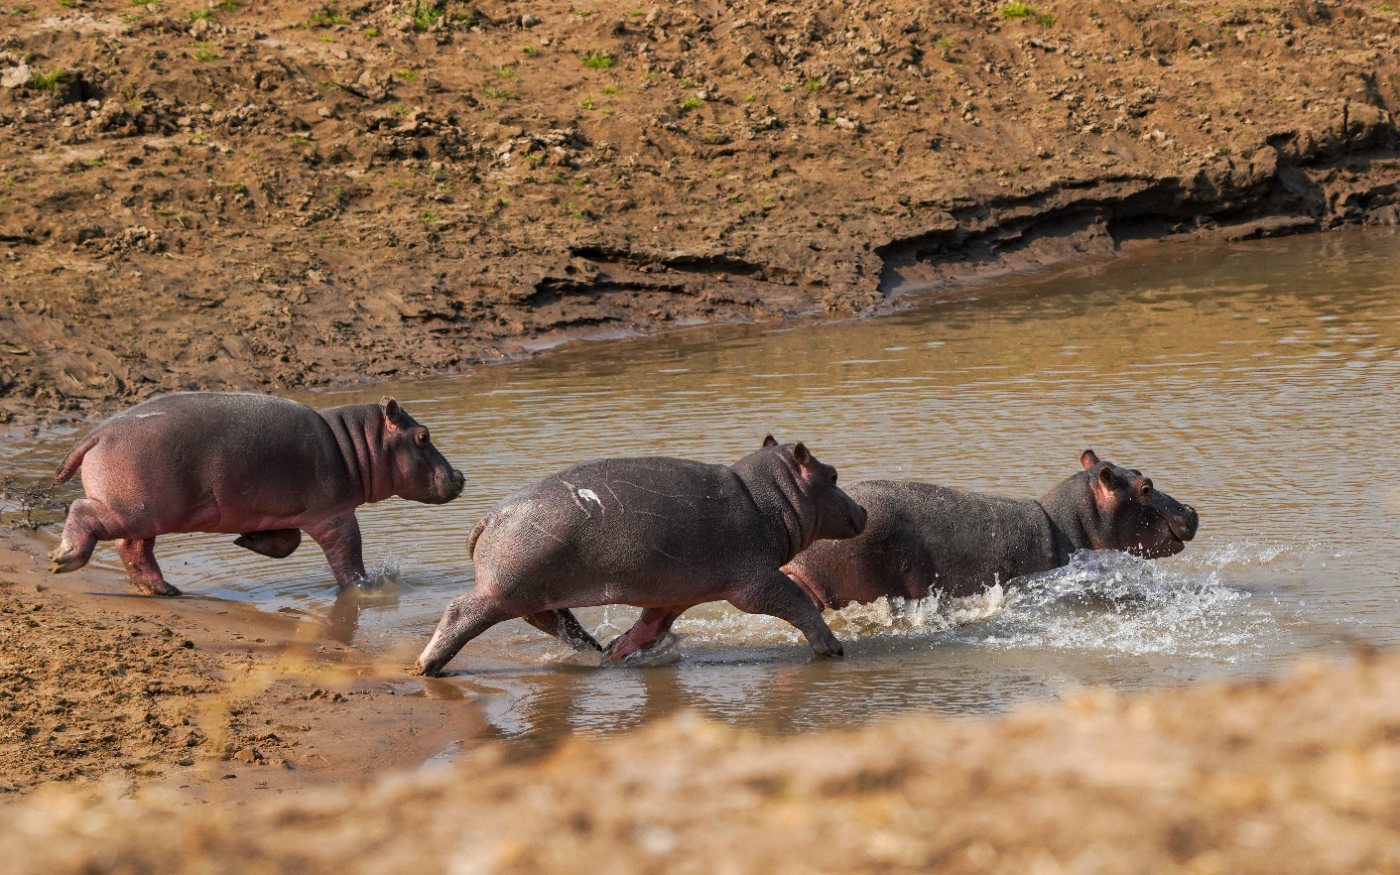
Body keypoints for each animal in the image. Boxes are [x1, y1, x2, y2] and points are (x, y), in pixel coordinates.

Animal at [49, 392, 465, 596]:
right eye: (423, 436)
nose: (460, 475)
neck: (356, 443)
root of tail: (98, 433)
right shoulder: (333, 515)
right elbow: (349, 553)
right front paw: (367, 587)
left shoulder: (283, 513)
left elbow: (288, 542)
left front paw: (247, 541)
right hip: (133, 508)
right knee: (84, 512)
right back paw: (62, 560)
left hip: (144, 515)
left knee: (134, 550)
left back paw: (165, 590)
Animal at [415, 436, 867, 676]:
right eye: (833, 475)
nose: (862, 510)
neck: (769, 497)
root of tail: (488, 517)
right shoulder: (755, 582)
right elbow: (796, 602)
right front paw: (832, 648)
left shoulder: (673, 596)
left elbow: (648, 627)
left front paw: (617, 651)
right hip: (504, 590)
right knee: (461, 613)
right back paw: (426, 666)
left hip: (532, 592)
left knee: (553, 620)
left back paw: (592, 649)